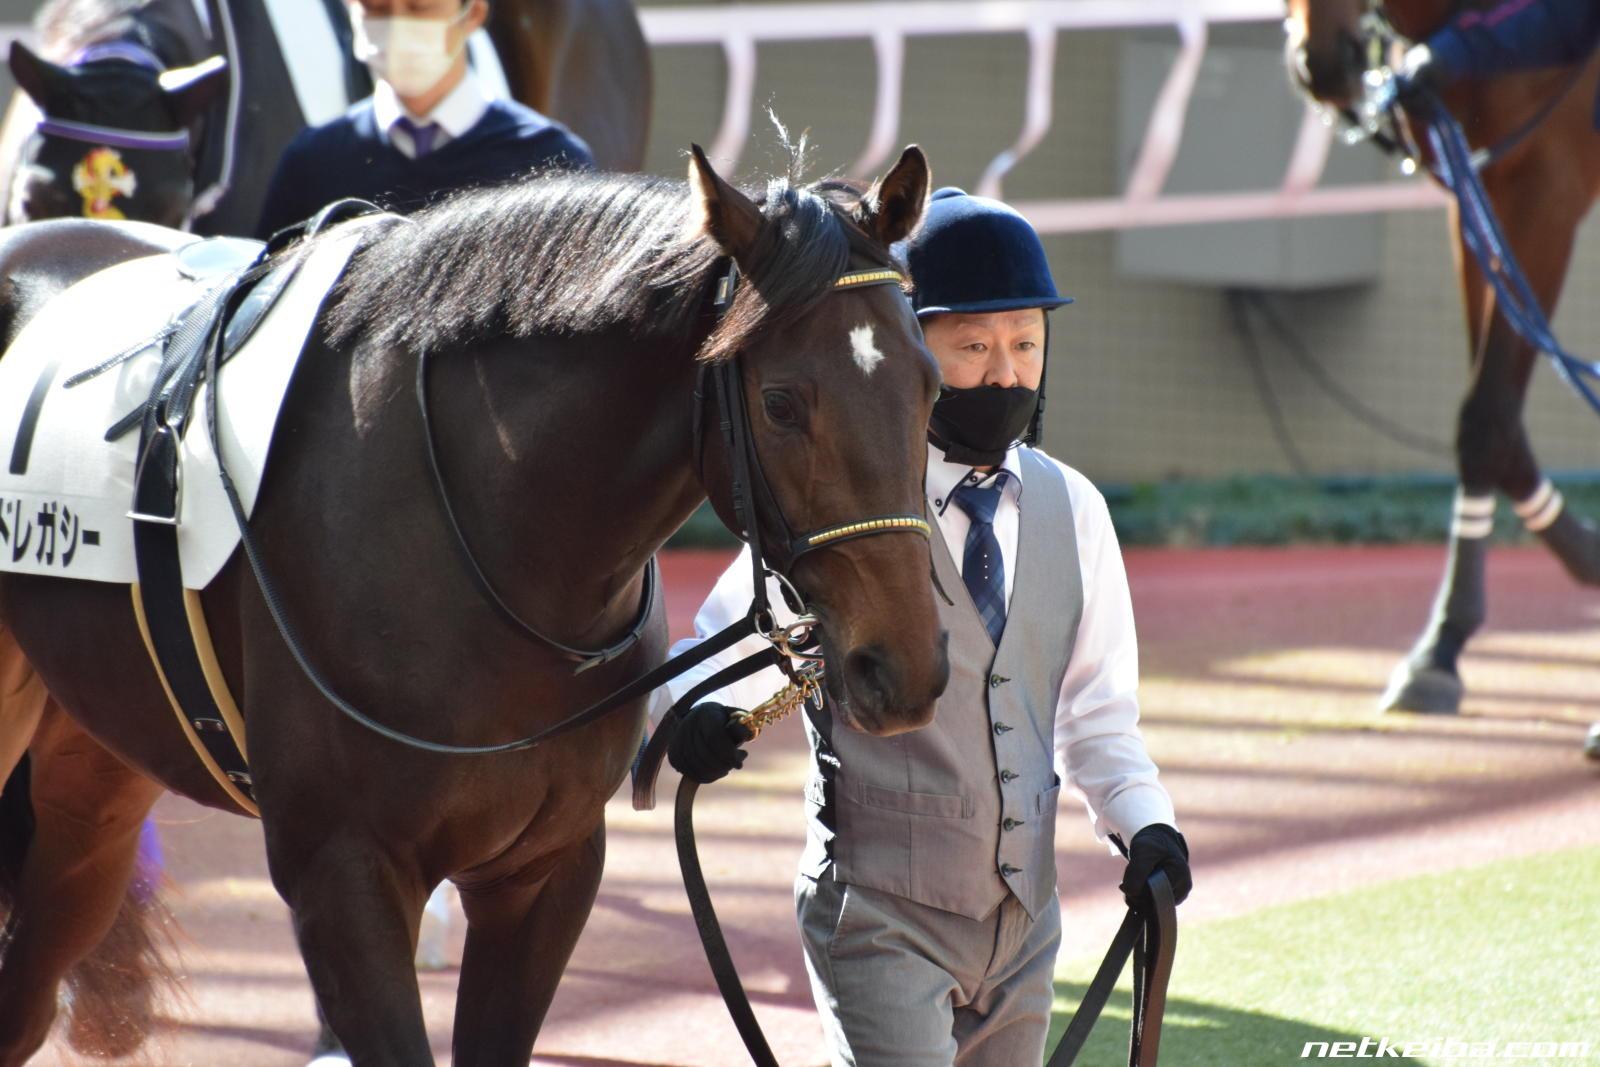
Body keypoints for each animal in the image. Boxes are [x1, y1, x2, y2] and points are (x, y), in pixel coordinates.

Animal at [0, 144, 948, 1064]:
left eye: (930, 385)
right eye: (781, 402)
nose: (903, 668)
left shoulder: (546, 867)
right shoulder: (341, 873)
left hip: (96, 774)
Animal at [1285, 0, 1600, 719]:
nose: (1322, 64)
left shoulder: (1548, 192)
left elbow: (1487, 415)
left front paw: (1442, 647)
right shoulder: (1478, 194)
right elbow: (1493, 419)